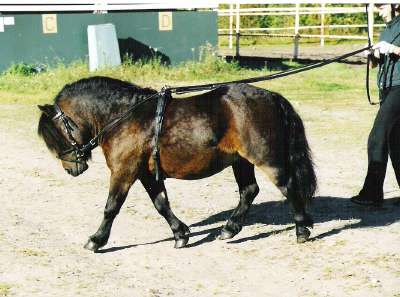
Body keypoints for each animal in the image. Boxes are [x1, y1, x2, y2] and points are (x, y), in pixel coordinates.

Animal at [39, 75, 318, 250]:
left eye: (56, 133)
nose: (72, 169)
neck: (123, 117)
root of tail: (272, 97)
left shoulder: (123, 172)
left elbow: (111, 207)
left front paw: (96, 240)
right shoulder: (146, 174)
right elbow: (161, 204)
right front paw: (181, 234)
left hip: (266, 158)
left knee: (288, 187)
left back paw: (301, 230)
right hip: (240, 161)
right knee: (249, 190)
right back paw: (229, 228)